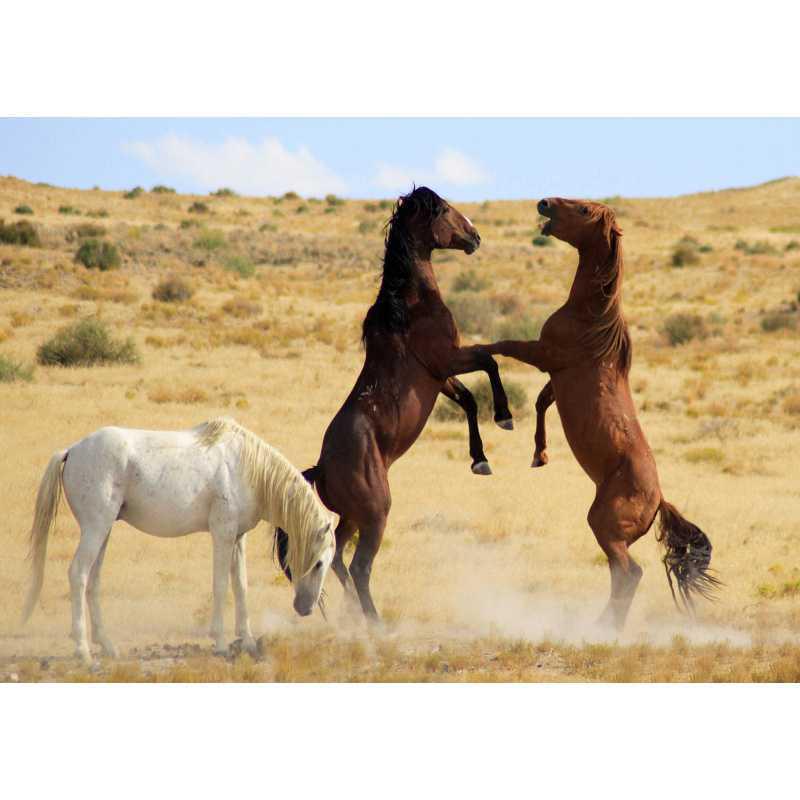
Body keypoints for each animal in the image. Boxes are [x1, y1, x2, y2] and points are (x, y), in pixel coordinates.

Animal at [22, 417, 335, 664]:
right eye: (319, 563)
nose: (305, 608)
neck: (246, 467)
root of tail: (72, 451)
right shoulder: (222, 534)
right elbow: (221, 586)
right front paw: (220, 644)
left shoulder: (237, 538)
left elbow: (241, 587)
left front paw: (246, 641)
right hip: (95, 528)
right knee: (78, 574)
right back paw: (83, 651)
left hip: (103, 531)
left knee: (93, 580)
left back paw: (108, 647)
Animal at [277, 185, 513, 622]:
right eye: (446, 210)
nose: (475, 237)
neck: (410, 305)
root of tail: (321, 469)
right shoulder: (447, 360)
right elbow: (489, 362)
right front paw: (505, 416)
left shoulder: (439, 378)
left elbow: (469, 400)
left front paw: (480, 459)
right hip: (375, 514)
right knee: (358, 566)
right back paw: (375, 622)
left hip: (352, 517)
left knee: (337, 557)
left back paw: (354, 614)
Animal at [476, 197, 720, 630]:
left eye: (584, 210)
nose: (544, 202)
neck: (590, 319)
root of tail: (658, 501)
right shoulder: (555, 376)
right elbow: (541, 402)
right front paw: (539, 455)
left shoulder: (543, 354)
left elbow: (501, 345)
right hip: (613, 536)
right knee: (620, 574)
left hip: (604, 526)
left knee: (630, 572)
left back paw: (605, 626)